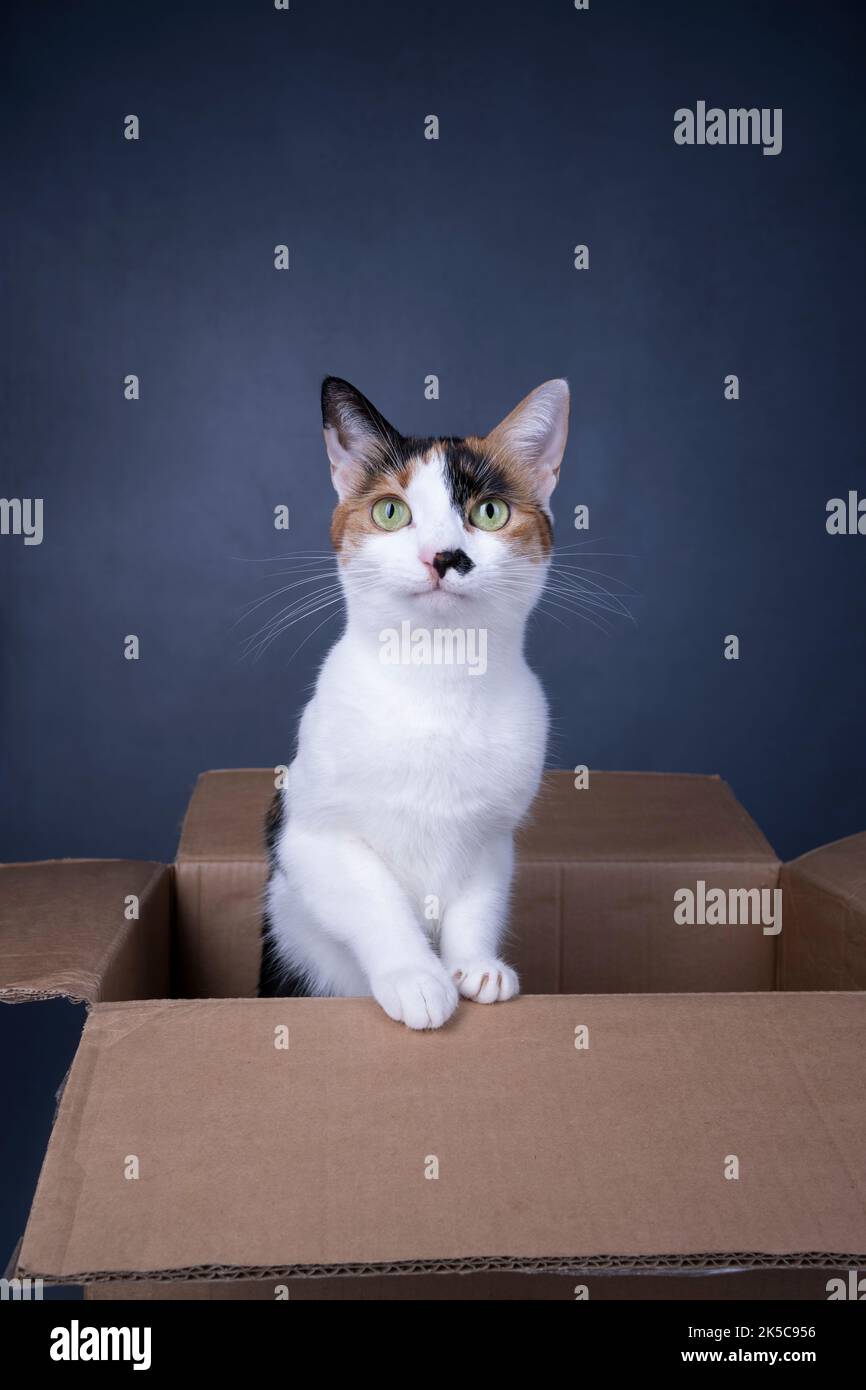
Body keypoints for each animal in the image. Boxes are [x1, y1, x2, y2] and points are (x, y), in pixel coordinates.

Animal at [257, 375, 569, 1028]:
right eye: (391, 511)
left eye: (489, 512)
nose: (444, 556)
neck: (438, 678)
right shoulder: (310, 838)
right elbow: (375, 902)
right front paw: (415, 977)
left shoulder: (492, 838)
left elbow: (478, 903)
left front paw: (475, 966)